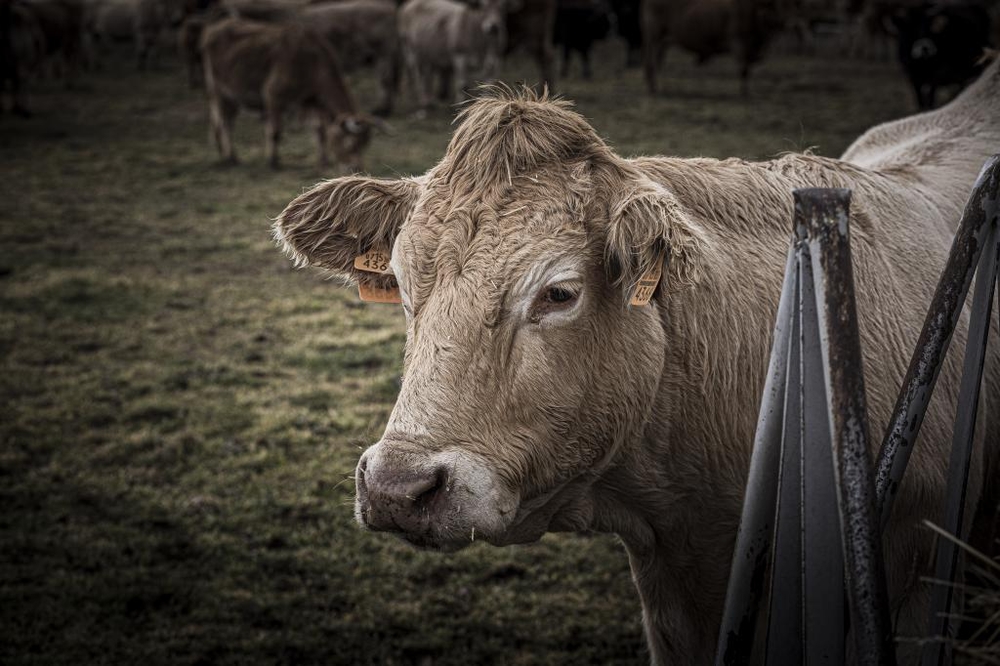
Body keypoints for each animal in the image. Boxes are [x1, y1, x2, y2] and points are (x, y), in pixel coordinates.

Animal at [200, 17, 378, 170]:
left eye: (365, 145)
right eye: (351, 143)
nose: (356, 168)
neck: (312, 61)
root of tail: (213, 29)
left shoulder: (312, 102)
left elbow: (320, 131)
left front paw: (323, 161)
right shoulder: (273, 95)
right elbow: (275, 131)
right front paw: (273, 161)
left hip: (230, 97)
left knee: (219, 121)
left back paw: (222, 153)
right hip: (219, 91)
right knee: (225, 123)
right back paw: (231, 157)